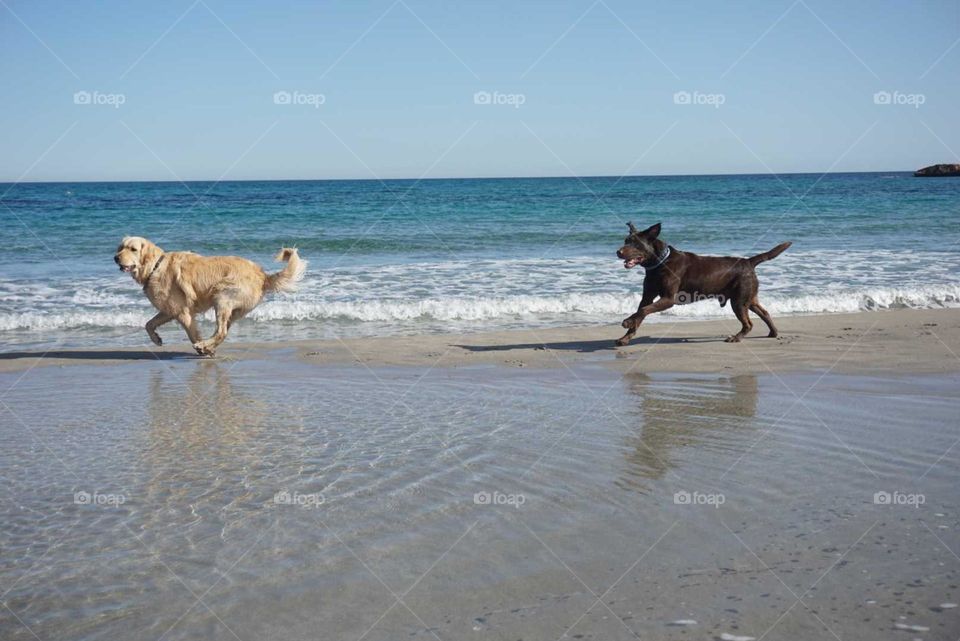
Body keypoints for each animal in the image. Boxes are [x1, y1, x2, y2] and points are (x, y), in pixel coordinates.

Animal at [114, 235, 306, 356]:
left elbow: (192, 334)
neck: (155, 266)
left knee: (221, 331)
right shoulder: (169, 310)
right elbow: (148, 324)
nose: (116, 258)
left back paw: (204, 344)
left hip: (222, 296)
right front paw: (156, 339)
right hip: (232, 309)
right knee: (223, 331)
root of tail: (262, 275)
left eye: (133, 249)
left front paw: (202, 349)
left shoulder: (183, 312)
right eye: (121, 247)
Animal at [620, 224, 792, 348]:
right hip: (748, 298)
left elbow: (643, 311)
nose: (618, 252)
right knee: (764, 312)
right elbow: (641, 311)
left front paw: (627, 322)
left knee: (749, 324)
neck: (660, 262)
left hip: (739, 300)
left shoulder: (668, 299)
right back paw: (773, 332)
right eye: (626, 241)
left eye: (636, 244)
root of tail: (748, 262)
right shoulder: (647, 296)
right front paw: (625, 337)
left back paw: (736, 338)